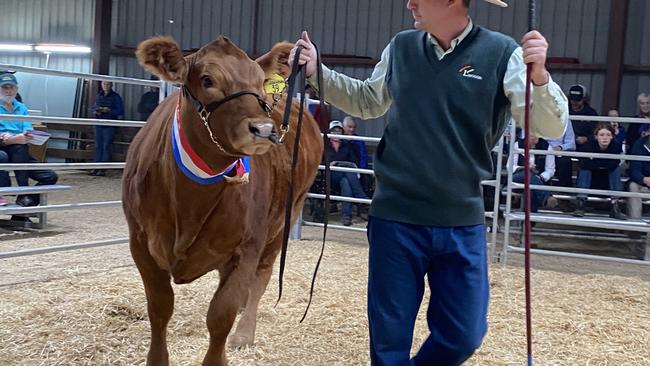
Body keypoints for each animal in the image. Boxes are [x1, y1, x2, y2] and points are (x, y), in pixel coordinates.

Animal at [121, 36, 322, 366]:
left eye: (260, 81)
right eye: (208, 80)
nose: (264, 130)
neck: (189, 203)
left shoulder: (248, 246)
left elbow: (220, 317)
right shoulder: (140, 243)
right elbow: (160, 309)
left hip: (286, 217)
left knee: (261, 278)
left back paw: (244, 332)